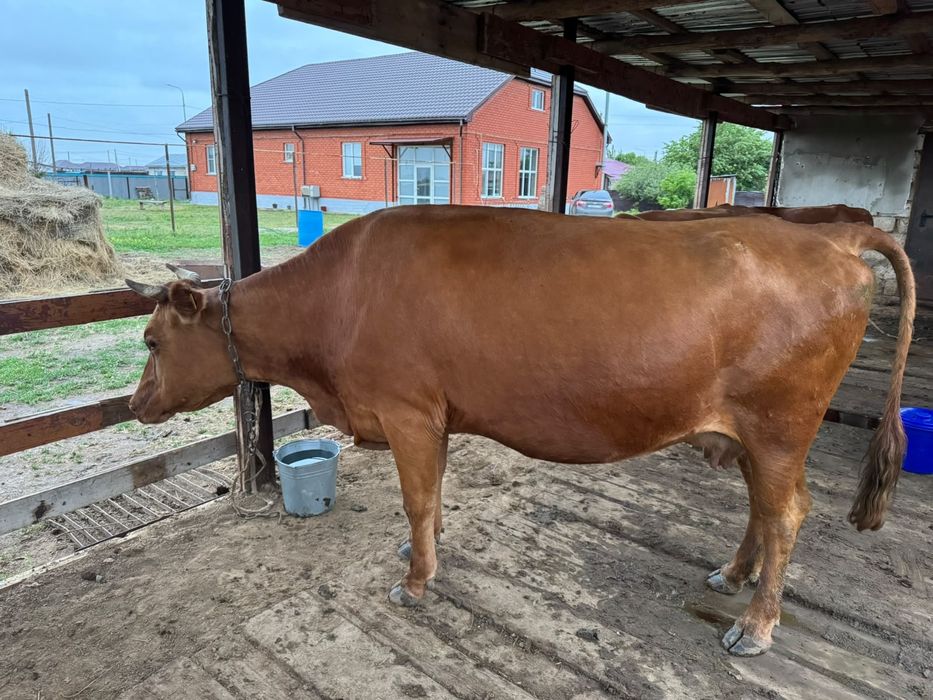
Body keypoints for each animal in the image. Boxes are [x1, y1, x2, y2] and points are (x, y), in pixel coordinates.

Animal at [126, 205, 914, 657]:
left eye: (150, 341)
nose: (135, 404)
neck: (338, 300)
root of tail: (828, 235)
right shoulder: (433, 418)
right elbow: (434, 498)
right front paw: (425, 556)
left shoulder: (407, 411)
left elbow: (417, 499)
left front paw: (415, 582)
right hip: (754, 434)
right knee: (762, 508)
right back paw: (733, 574)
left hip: (780, 425)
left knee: (786, 514)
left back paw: (754, 627)